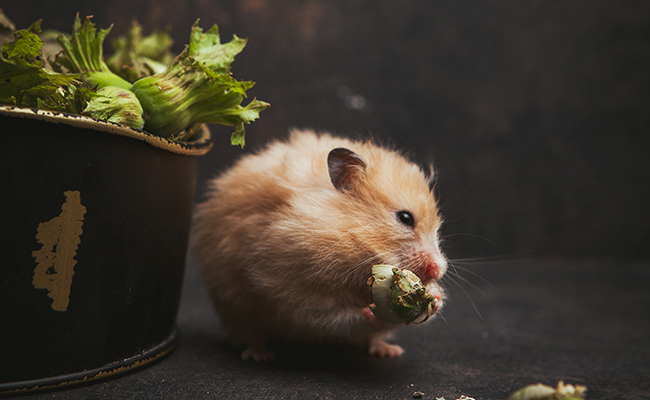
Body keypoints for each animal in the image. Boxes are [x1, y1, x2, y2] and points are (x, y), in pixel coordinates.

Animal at [190, 130, 448, 360]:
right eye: (405, 218)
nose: (438, 269)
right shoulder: (294, 291)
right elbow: (335, 316)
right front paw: (370, 312)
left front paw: (436, 296)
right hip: (235, 306)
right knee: (249, 334)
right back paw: (260, 355)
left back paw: (389, 351)